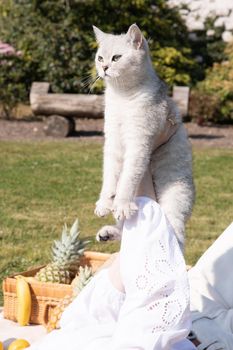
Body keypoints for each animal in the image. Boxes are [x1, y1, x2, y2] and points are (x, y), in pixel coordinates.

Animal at [93, 24, 195, 249]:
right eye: (100, 58)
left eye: (116, 58)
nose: (104, 68)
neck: (122, 97)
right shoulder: (112, 142)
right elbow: (109, 178)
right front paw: (104, 203)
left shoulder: (139, 143)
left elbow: (126, 180)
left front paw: (121, 203)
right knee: (124, 229)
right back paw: (108, 233)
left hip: (175, 199)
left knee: (177, 237)